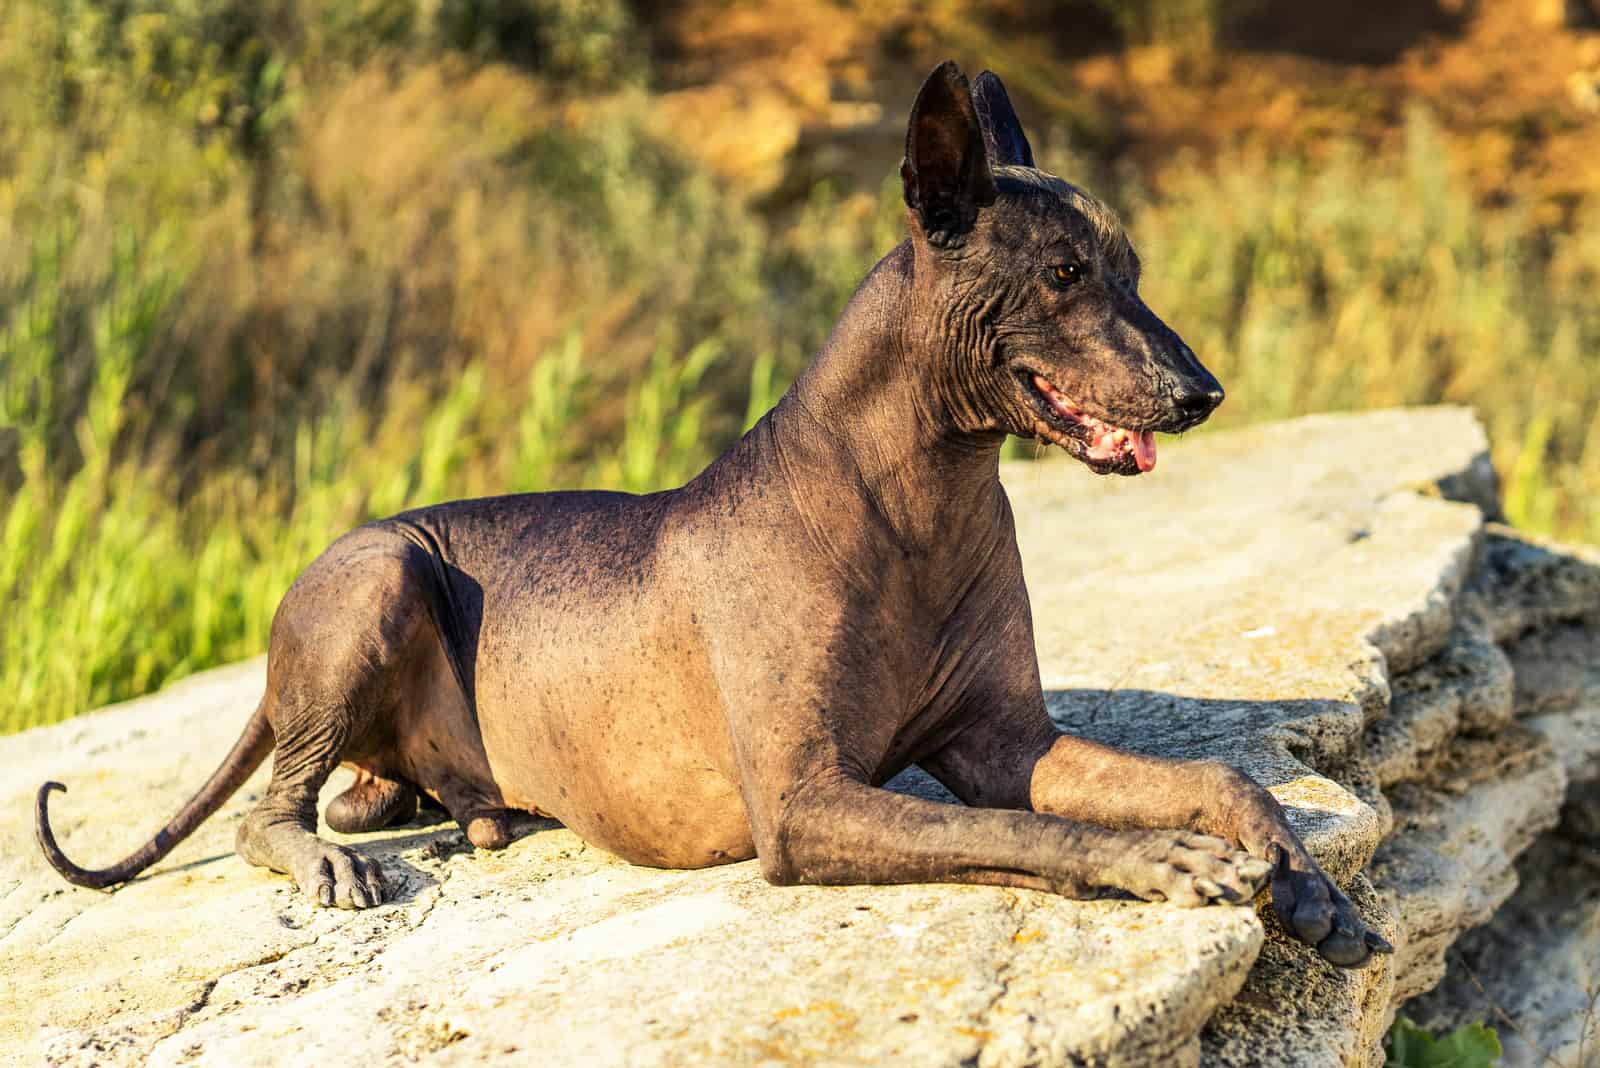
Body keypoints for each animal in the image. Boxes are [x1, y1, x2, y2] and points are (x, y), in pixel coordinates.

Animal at [34, 62, 1388, 972]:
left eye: (1134, 271)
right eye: (1063, 276)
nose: (1201, 392)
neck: (913, 498)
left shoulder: (1005, 742)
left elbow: (1218, 776)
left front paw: (1301, 879)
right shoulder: (803, 804)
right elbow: (1033, 839)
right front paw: (1163, 863)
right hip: (377, 574)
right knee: (271, 808)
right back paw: (330, 852)